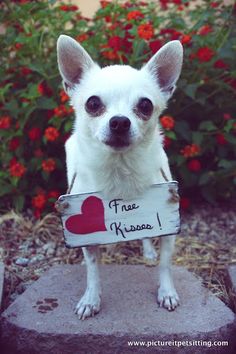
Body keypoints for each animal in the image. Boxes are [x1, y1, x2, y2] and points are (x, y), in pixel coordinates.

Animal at [56, 34, 183, 320]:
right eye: (92, 103)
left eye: (145, 105)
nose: (120, 122)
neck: (119, 170)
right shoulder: (85, 235)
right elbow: (92, 269)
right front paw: (91, 299)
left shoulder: (167, 222)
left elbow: (166, 264)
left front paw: (167, 292)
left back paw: (147, 252)